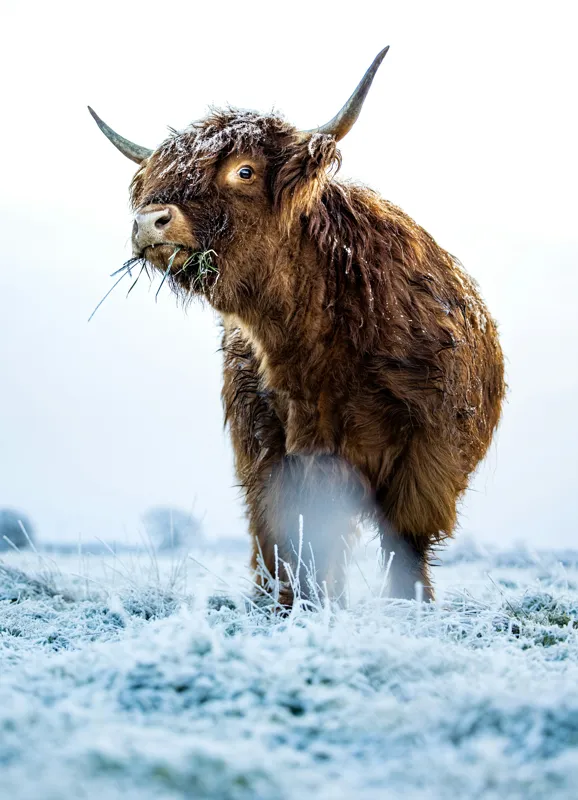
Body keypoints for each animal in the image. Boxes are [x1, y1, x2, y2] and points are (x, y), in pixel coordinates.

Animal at [89, 47, 505, 605]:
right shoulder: (270, 451)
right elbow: (288, 540)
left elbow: (404, 543)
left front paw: (407, 608)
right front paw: (291, 607)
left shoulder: (425, 456)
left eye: (243, 171)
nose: (149, 221)